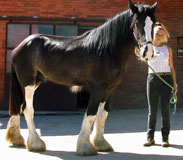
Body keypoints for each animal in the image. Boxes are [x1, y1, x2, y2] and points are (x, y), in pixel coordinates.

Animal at [5, 0, 157, 155]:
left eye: (153, 23)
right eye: (137, 23)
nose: (148, 53)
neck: (107, 50)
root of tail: (19, 47)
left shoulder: (110, 90)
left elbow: (102, 115)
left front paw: (101, 143)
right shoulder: (97, 88)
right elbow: (91, 115)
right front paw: (85, 146)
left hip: (35, 82)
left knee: (19, 107)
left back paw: (16, 138)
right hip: (28, 84)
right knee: (28, 109)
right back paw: (36, 143)